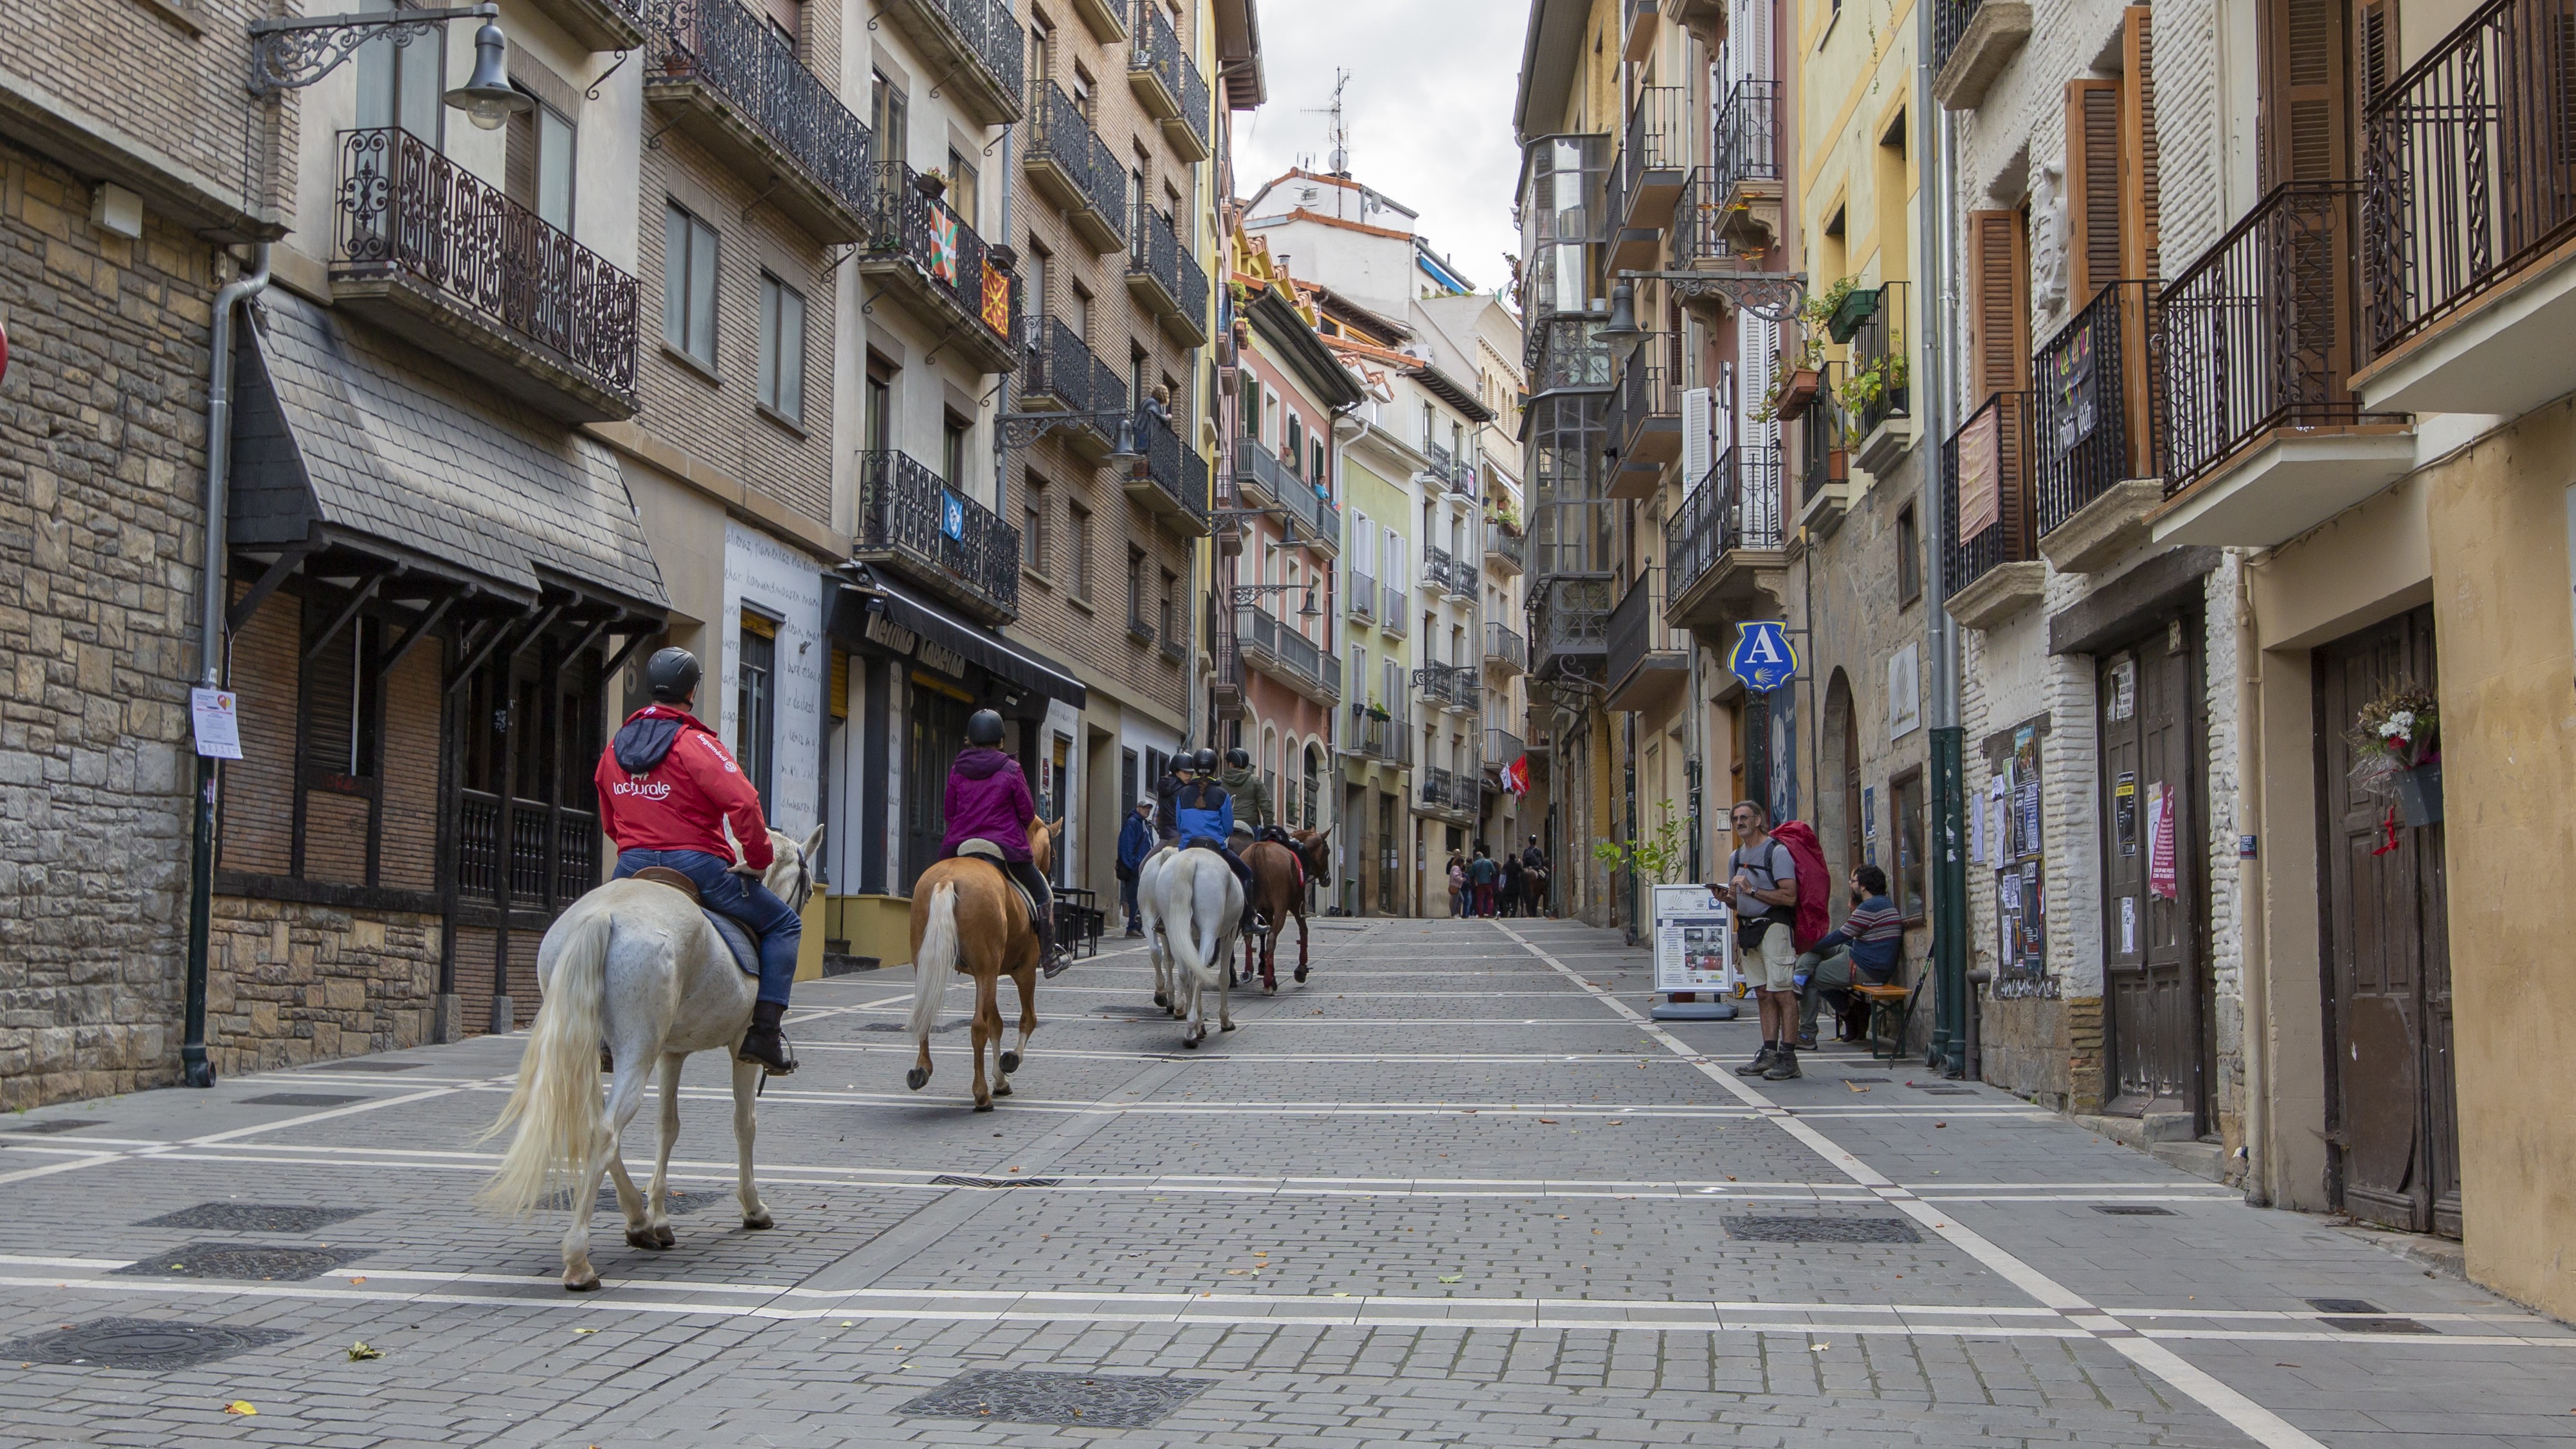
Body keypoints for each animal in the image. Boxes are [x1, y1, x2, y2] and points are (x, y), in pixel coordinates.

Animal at [475, 825, 823, 1292]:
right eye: (809, 888)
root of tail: (602, 914)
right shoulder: (740, 1050)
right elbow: (744, 1124)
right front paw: (753, 1207)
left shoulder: (671, 1053)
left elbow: (667, 1127)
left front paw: (657, 1215)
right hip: (637, 1052)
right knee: (605, 1131)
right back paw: (579, 1259)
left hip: (594, 1051)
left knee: (594, 1126)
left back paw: (638, 1220)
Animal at [901, 814, 1063, 1111]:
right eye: (1054, 854)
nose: (1051, 877)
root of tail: (948, 879)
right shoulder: (1022, 970)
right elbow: (1027, 1020)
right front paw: (1009, 1063)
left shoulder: (990, 973)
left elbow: (996, 1024)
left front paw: (1000, 1080)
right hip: (988, 970)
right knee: (978, 1027)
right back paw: (981, 1095)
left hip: (930, 966)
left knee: (927, 1014)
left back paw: (921, 1072)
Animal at [1153, 845, 1243, 1047]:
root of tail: (1191, 859)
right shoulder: (1230, 934)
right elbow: (1224, 978)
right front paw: (1225, 1020)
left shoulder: (1194, 939)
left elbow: (1193, 972)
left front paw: (1201, 1025)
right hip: (1210, 929)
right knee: (1199, 974)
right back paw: (1191, 1032)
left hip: (1174, 930)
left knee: (1186, 974)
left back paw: (1193, 1026)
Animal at [1241, 826, 1332, 992]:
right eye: (1327, 850)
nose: (1327, 879)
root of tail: (1258, 851)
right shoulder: (1295, 907)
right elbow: (1303, 931)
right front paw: (1301, 969)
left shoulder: (1266, 910)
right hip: (1281, 910)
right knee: (1272, 940)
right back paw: (1269, 984)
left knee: (1249, 937)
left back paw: (1249, 972)